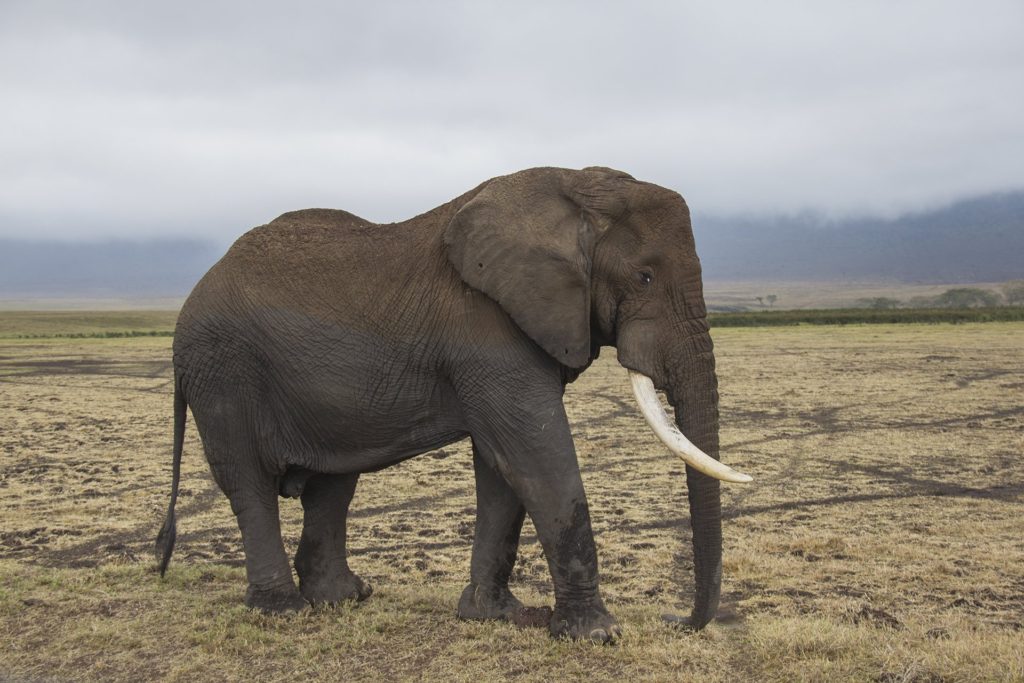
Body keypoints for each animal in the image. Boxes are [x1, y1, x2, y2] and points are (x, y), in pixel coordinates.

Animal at [157, 165, 753, 643]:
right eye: (644, 276)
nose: (677, 620)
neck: (573, 188)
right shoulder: (485, 326)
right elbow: (535, 454)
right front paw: (597, 634)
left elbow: (503, 467)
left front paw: (495, 616)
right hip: (222, 371)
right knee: (250, 483)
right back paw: (284, 611)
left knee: (332, 484)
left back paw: (344, 598)